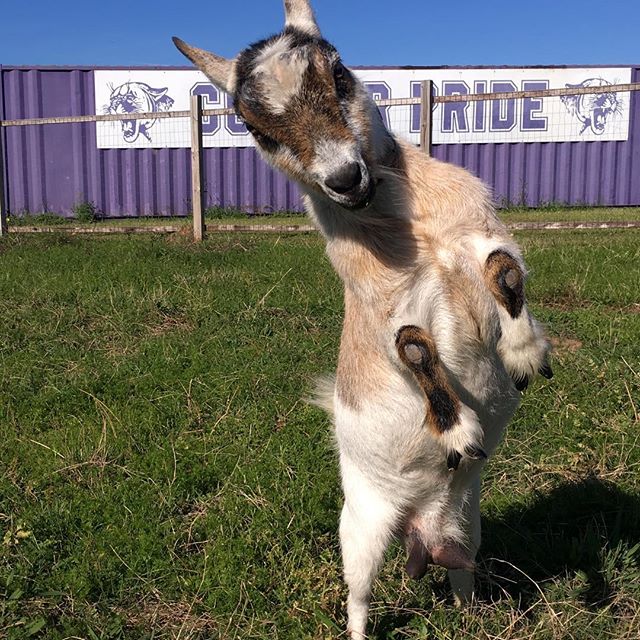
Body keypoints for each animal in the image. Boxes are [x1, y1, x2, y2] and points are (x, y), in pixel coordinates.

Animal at [172, 2, 552, 636]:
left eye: (339, 72)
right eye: (256, 127)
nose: (346, 180)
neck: (414, 233)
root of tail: (420, 533)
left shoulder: (477, 236)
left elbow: (504, 269)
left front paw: (526, 355)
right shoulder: (383, 311)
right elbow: (415, 346)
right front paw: (460, 432)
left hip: (467, 524)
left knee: (462, 571)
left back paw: (468, 610)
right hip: (361, 531)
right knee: (359, 593)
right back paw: (360, 628)